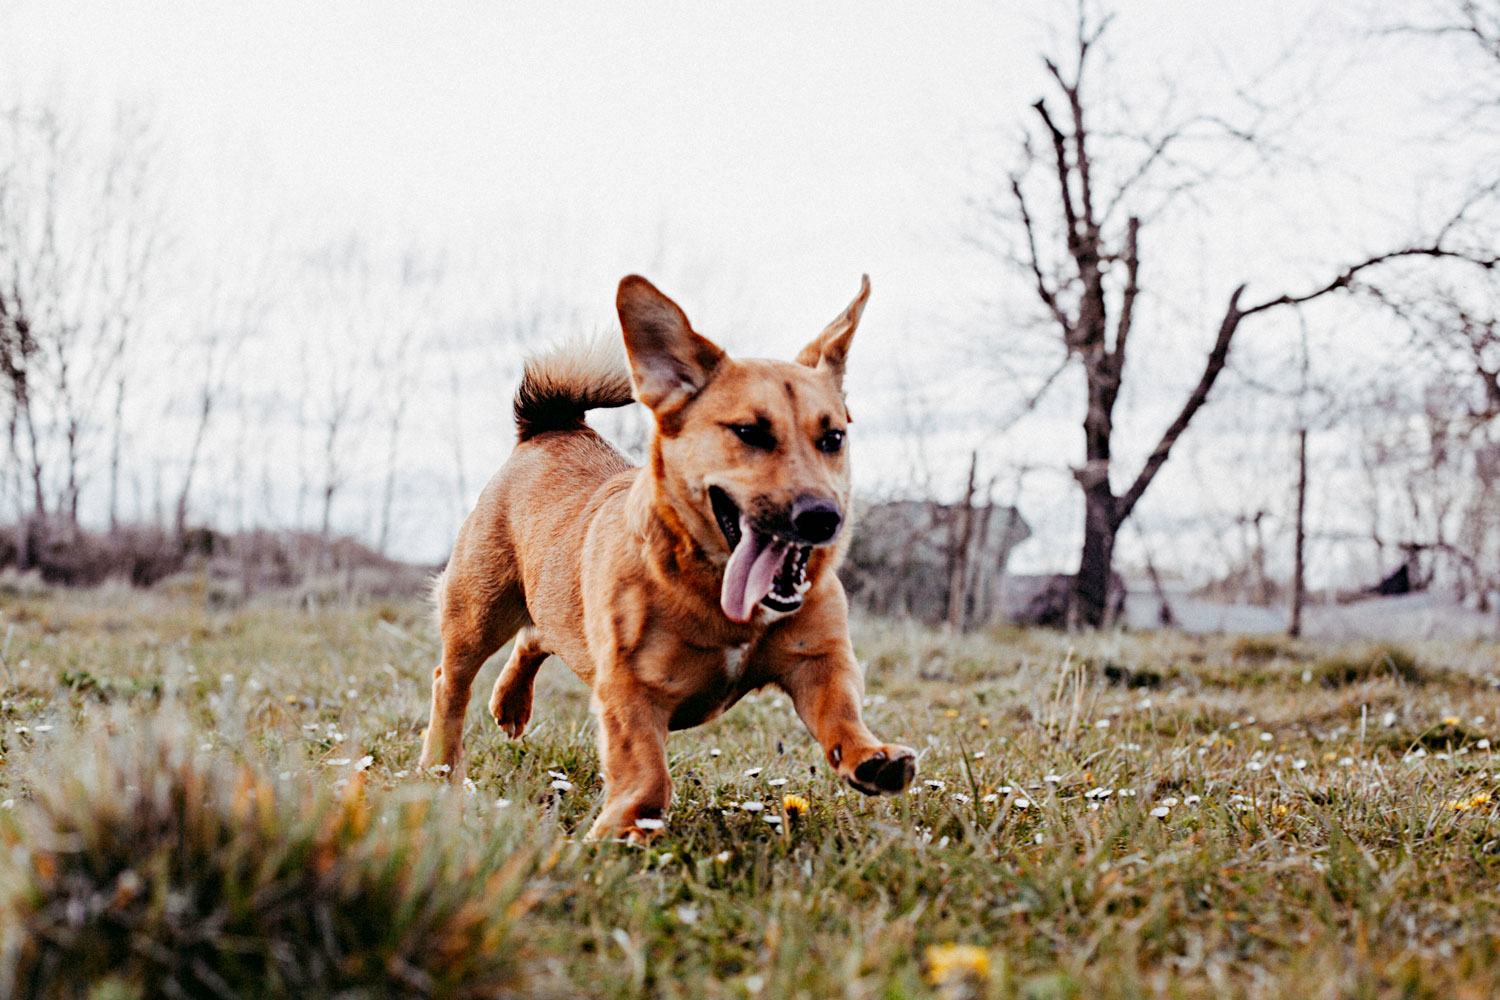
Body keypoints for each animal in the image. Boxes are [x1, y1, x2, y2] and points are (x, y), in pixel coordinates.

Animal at [417, 271, 918, 839]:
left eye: (832, 438)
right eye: (750, 433)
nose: (822, 517)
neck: (717, 591)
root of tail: (550, 428)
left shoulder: (819, 662)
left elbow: (841, 716)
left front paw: (869, 756)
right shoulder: (629, 690)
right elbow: (648, 776)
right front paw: (617, 829)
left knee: (535, 636)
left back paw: (510, 703)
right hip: (478, 612)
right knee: (451, 684)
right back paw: (441, 768)